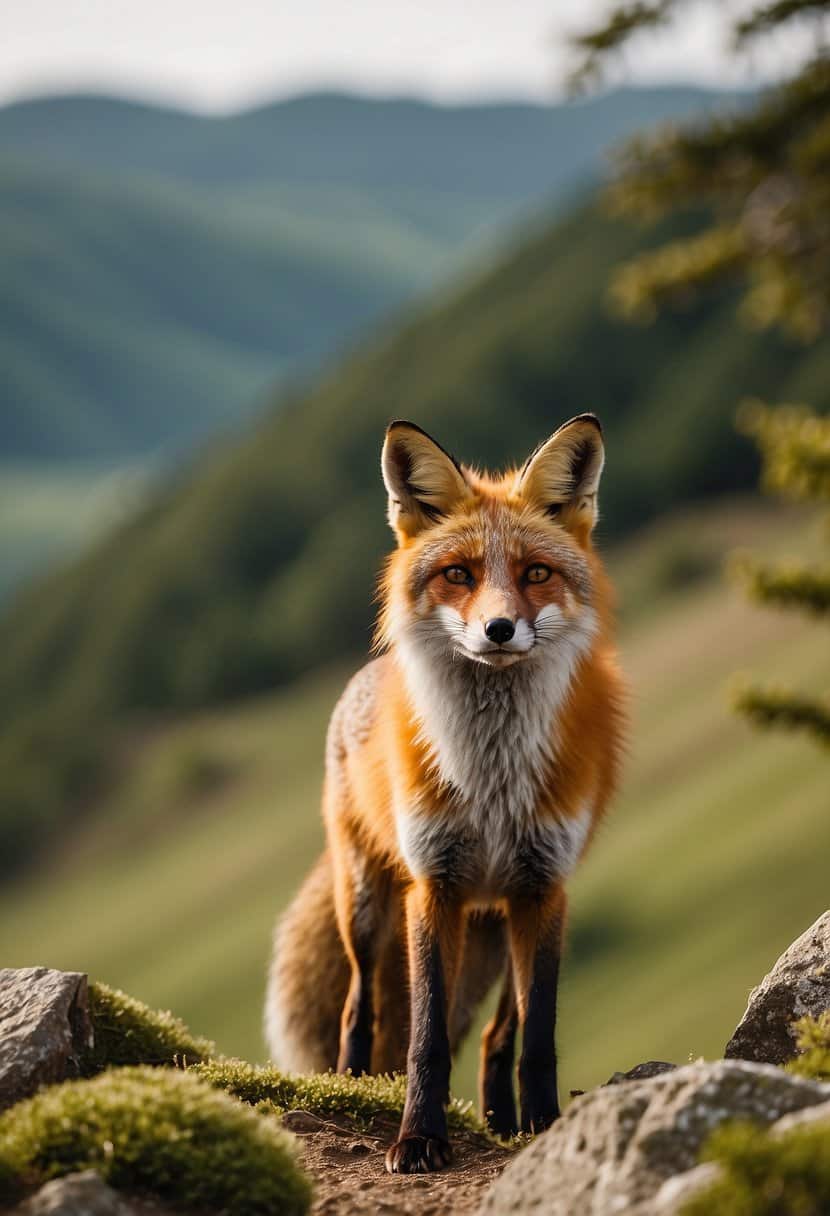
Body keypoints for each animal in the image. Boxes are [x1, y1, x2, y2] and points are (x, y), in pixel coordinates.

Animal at [264, 413, 622, 1172]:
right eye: (458, 574)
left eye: (536, 573)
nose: (499, 629)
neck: (491, 783)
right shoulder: (435, 885)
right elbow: (424, 1038)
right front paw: (418, 1138)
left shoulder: (543, 886)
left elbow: (537, 1037)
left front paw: (543, 1126)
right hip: (368, 904)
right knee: (361, 1008)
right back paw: (354, 1085)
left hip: (509, 920)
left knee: (496, 1035)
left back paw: (502, 1118)